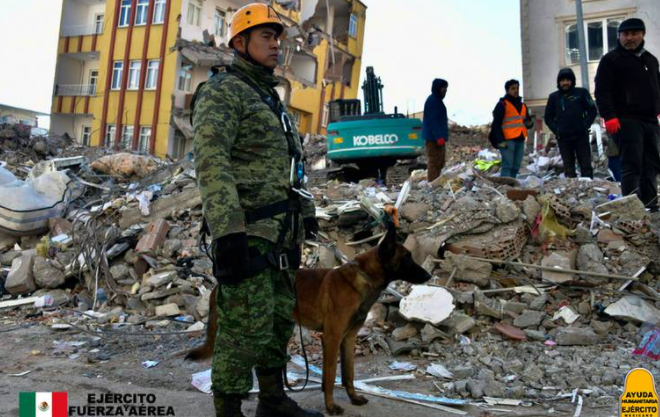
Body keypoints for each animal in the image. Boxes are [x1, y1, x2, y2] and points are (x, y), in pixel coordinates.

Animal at [187, 226, 434, 414]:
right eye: (407, 259)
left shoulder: (348, 339)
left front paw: (353, 398)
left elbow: (349, 374)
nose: (429, 275)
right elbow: (331, 376)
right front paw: (331, 406)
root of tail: (218, 284)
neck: (363, 278)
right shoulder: (332, 338)